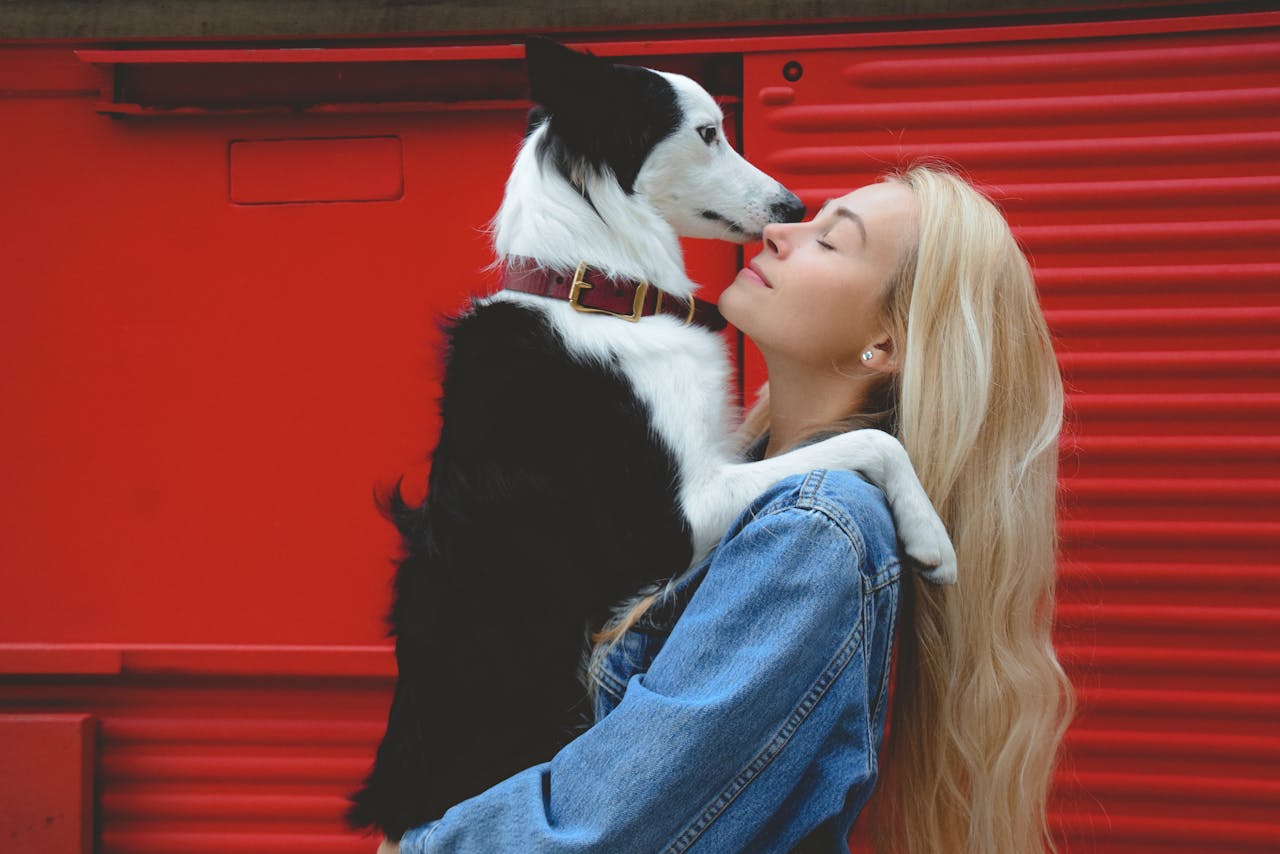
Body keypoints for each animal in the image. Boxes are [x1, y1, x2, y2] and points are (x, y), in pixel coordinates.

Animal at [348, 40, 952, 839]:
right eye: (707, 133)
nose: (792, 209)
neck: (599, 290)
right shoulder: (673, 520)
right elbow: (876, 445)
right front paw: (931, 536)